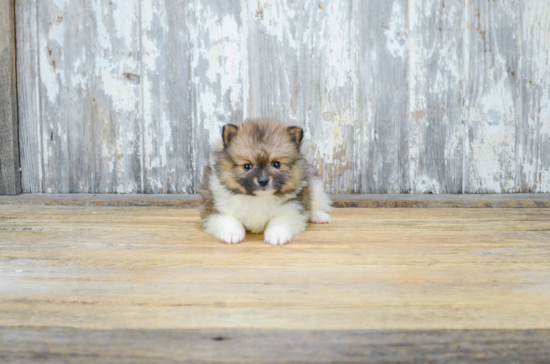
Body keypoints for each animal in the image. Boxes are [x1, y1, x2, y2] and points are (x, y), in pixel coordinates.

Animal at [201, 118, 334, 246]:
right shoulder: (217, 209)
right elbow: (228, 220)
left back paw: (318, 216)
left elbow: (280, 223)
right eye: (247, 166)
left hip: (315, 185)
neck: (259, 198)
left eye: (276, 164)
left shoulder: (290, 209)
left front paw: (277, 235)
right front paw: (231, 234)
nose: (263, 181)